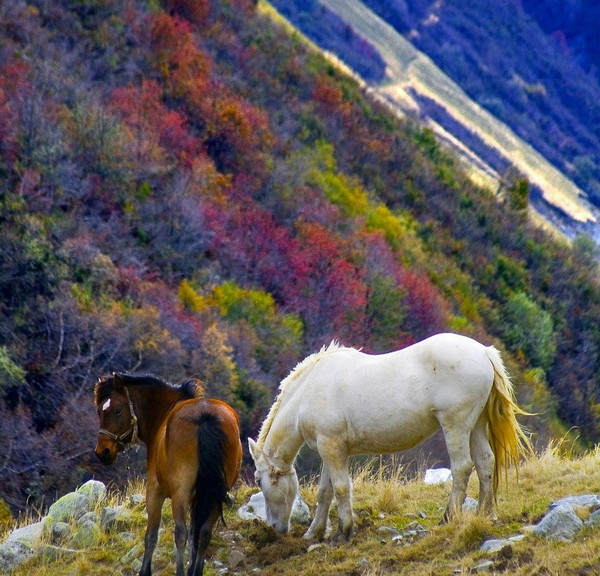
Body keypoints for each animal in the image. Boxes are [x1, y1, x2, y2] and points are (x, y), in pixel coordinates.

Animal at [94, 374, 241, 576]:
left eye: (117, 410)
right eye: (100, 412)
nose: (103, 451)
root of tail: (205, 416)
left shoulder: (154, 491)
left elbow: (151, 534)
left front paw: (145, 571)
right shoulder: (198, 497)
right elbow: (195, 532)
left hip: (181, 492)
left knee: (180, 533)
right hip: (215, 492)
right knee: (204, 532)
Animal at [251, 332, 532, 540]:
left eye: (259, 481)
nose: (275, 528)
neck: (308, 392)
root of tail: (484, 352)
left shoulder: (331, 446)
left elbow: (340, 488)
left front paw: (344, 532)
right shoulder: (329, 449)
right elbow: (325, 492)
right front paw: (314, 533)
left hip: (457, 425)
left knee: (463, 467)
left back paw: (448, 518)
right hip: (476, 426)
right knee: (485, 463)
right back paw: (484, 514)